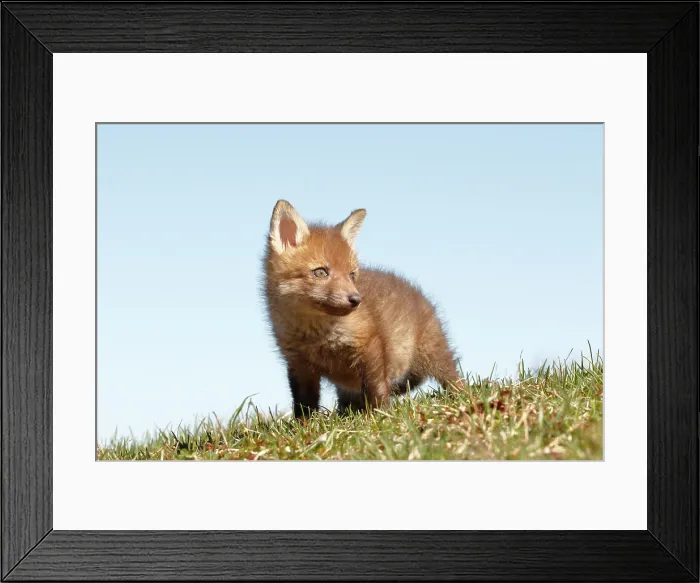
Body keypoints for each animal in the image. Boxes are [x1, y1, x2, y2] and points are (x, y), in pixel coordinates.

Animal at [263, 200, 461, 418]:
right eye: (320, 272)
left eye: (351, 275)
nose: (356, 299)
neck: (317, 335)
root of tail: (418, 293)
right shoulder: (298, 364)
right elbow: (304, 404)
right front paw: (304, 425)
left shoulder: (368, 345)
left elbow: (376, 388)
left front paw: (381, 415)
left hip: (433, 354)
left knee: (452, 375)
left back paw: (461, 395)